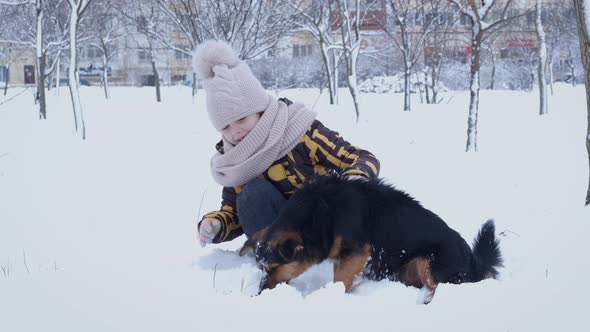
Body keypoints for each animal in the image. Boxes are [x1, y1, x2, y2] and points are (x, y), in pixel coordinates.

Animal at [240, 176, 504, 304]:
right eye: (260, 268)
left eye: (272, 267)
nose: (258, 295)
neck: (320, 211)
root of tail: (473, 262)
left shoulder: (355, 253)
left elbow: (340, 280)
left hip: (429, 260)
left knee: (437, 286)